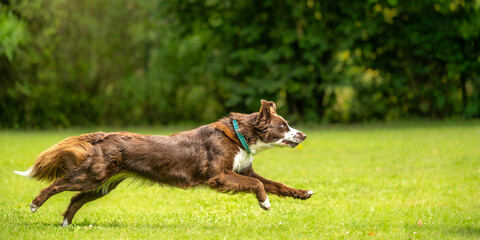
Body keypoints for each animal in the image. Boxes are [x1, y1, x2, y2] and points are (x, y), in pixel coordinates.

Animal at [14, 100, 312, 227]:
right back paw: (34, 205)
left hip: (103, 184)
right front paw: (264, 203)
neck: (239, 136)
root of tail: (102, 136)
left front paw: (303, 193)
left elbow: (275, 184)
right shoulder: (218, 175)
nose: (304, 135)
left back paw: (66, 223)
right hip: (92, 176)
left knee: (75, 198)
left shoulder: (241, 170)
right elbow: (256, 185)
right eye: (283, 126)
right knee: (57, 184)